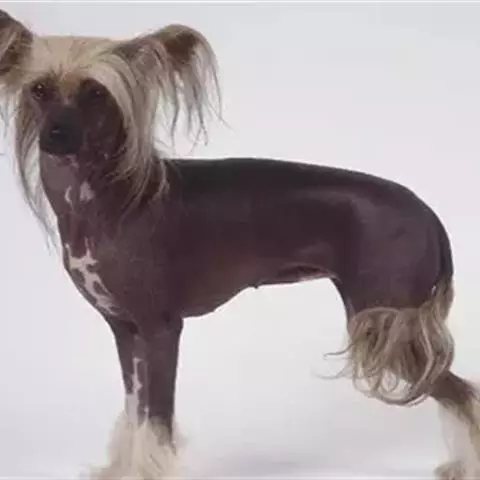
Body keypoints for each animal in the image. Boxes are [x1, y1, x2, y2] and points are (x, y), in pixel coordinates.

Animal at [0, 9, 477, 480]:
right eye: (39, 89)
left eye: (95, 92)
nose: (55, 134)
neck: (108, 201)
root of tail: (428, 213)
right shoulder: (125, 330)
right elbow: (135, 412)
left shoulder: (160, 329)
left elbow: (157, 418)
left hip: (389, 320)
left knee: (462, 394)